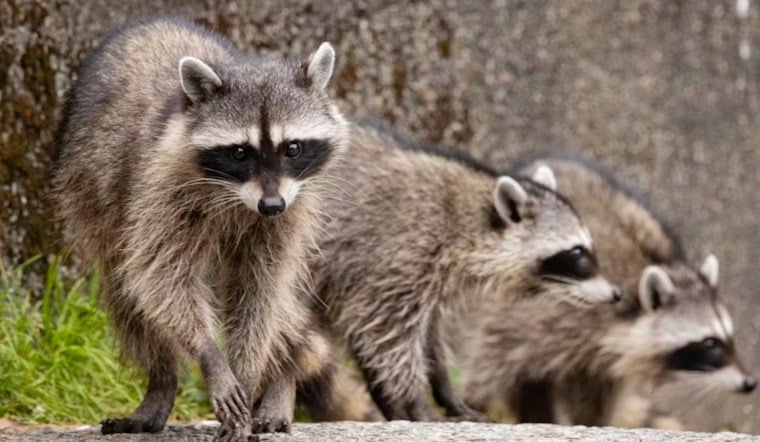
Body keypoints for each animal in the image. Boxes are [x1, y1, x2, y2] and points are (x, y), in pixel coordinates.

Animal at [49, 18, 348, 439]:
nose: (271, 206)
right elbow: (161, 278)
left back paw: (282, 375)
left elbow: (261, 290)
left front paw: (250, 370)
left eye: (293, 148)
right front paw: (210, 356)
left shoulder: (290, 210)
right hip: (91, 193)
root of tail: (155, 22)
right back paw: (161, 382)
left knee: (282, 304)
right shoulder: (161, 189)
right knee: (125, 288)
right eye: (239, 152)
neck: (238, 198)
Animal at [309, 122, 621, 422]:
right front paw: (415, 400)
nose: (617, 294)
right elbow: (388, 337)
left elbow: (426, 336)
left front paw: (442, 390)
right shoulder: (394, 258)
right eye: (577, 253)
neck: (466, 221)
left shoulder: (421, 278)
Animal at [462, 153, 756, 428]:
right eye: (710, 343)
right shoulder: (542, 316)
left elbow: (597, 397)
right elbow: (496, 358)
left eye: (729, 337)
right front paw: (474, 401)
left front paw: (592, 423)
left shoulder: (601, 360)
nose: (750, 382)